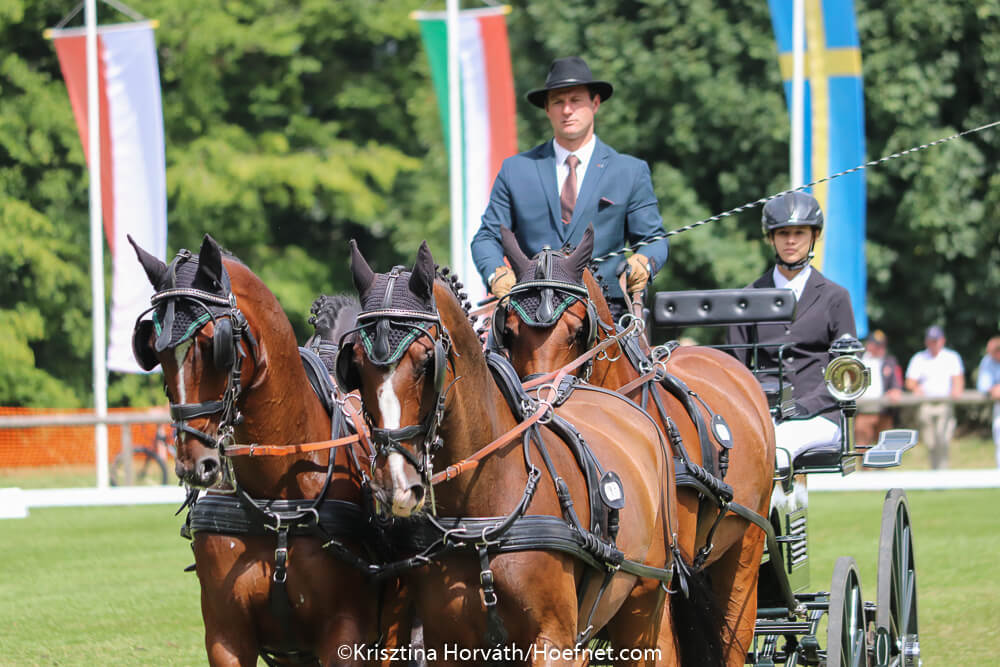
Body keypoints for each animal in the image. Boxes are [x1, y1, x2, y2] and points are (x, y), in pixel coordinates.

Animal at [129, 234, 405, 666]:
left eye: (212, 345)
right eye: (154, 350)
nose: (196, 464)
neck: (276, 497)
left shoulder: (345, 635)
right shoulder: (226, 636)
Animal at [334, 240, 723, 666]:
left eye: (425, 361)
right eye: (354, 365)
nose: (395, 486)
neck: (482, 508)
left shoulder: (553, 641)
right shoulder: (444, 643)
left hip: (644, 609)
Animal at [493, 226, 776, 667]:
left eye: (579, 328)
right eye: (509, 328)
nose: (538, 402)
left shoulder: (665, 571)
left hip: (746, 543)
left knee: (735, 631)